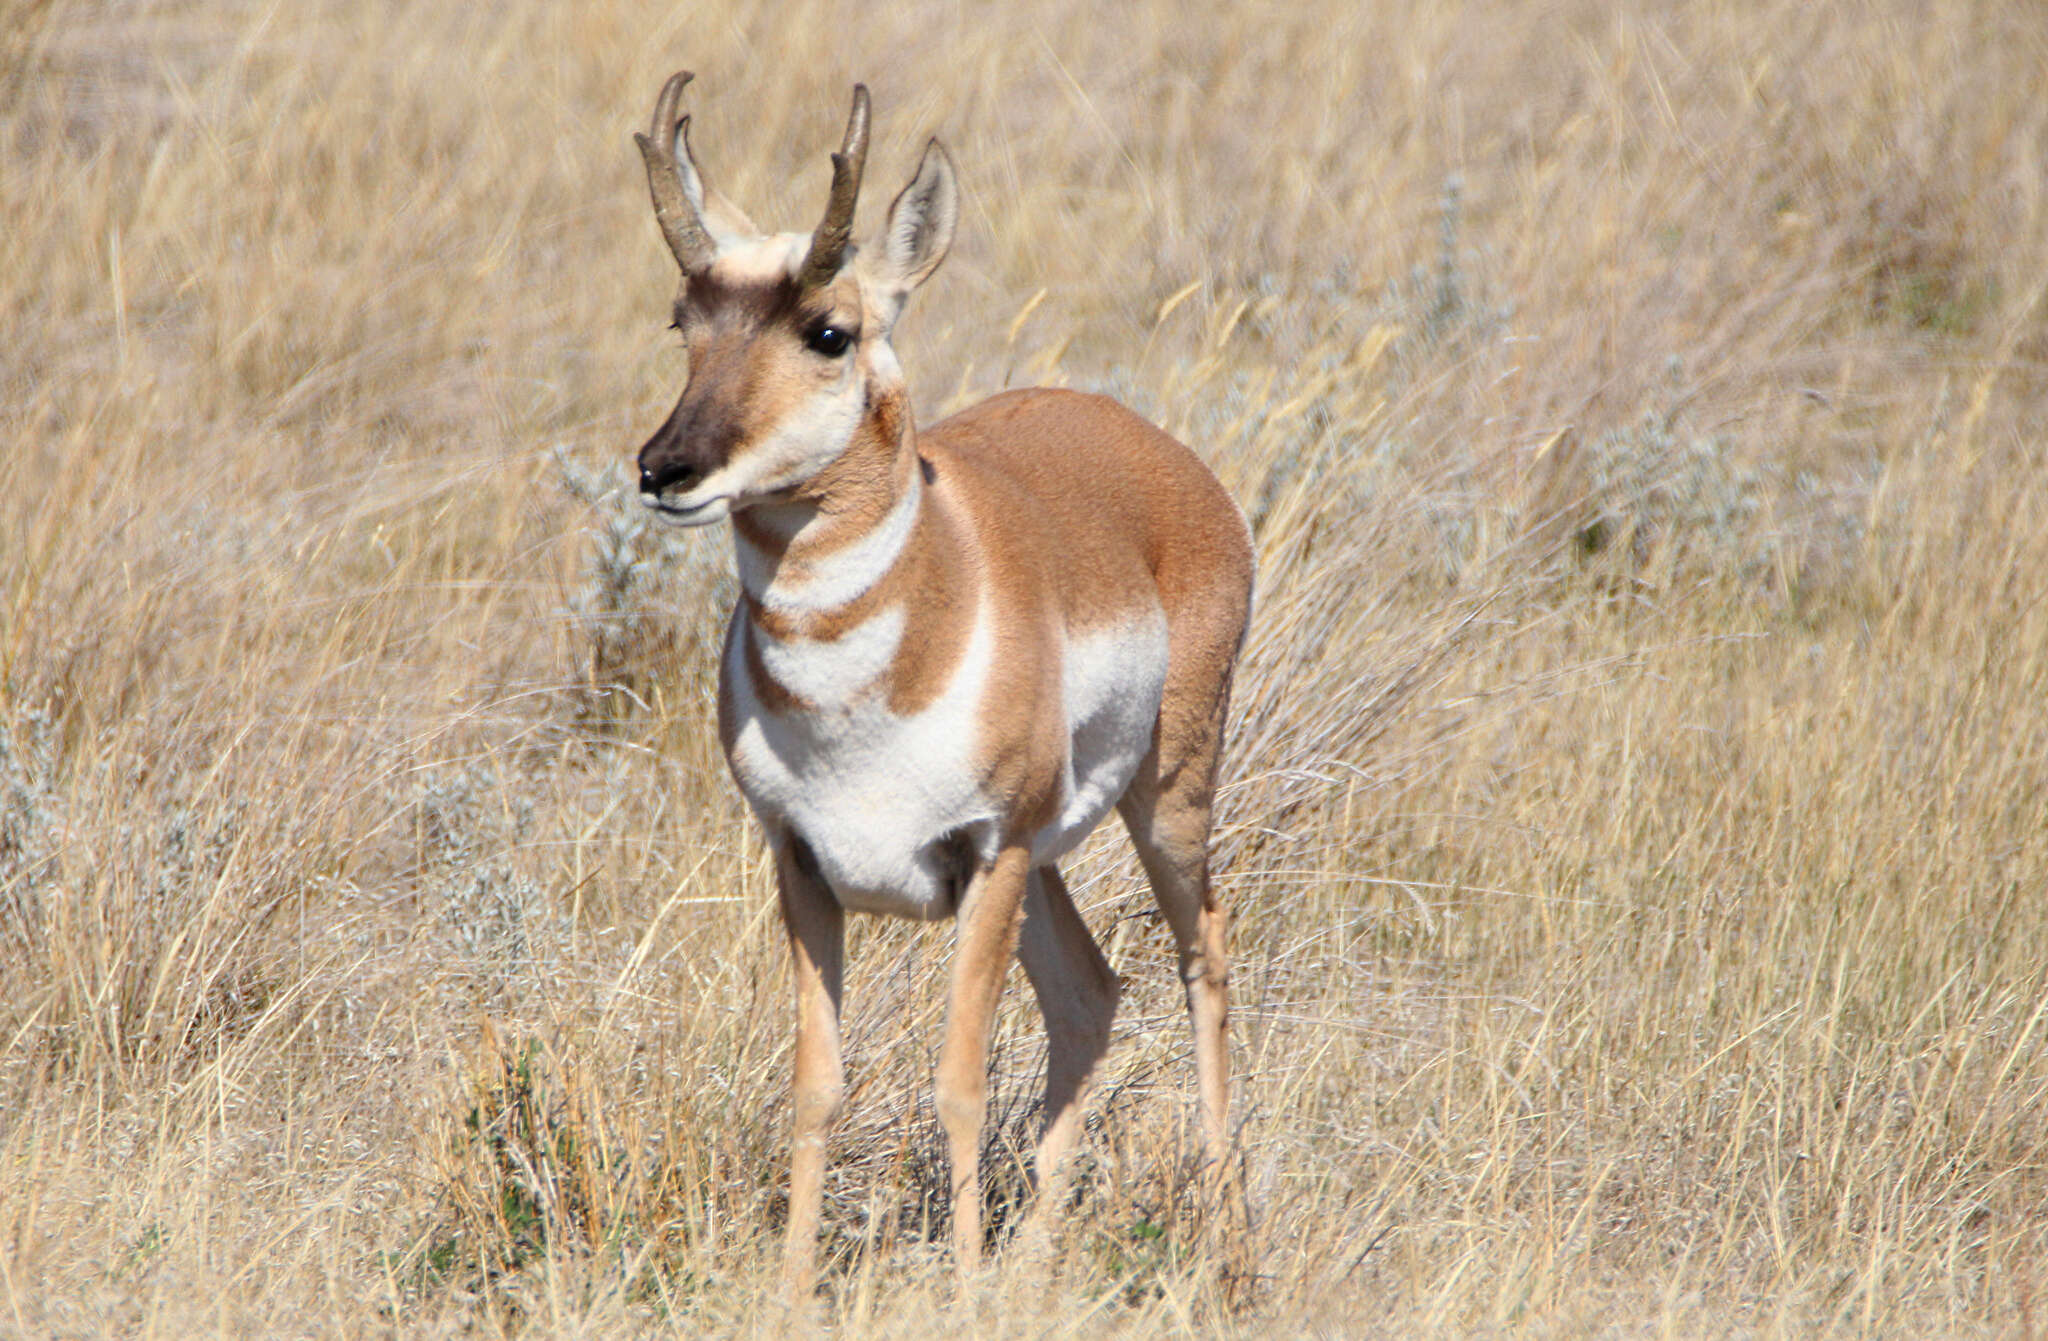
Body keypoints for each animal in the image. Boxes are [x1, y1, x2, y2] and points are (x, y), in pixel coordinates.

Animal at [630, 70, 1253, 1277]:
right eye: (685, 321)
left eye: (828, 330)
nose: (664, 468)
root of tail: (1146, 446)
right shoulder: (802, 865)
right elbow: (816, 1088)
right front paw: (795, 1286)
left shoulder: (989, 853)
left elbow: (957, 1085)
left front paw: (959, 1287)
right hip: (1052, 859)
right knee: (1089, 995)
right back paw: (1037, 1258)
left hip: (1166, 800)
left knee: (1202, 957)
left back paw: (1226, 1238)